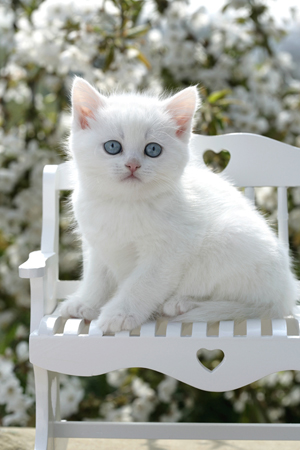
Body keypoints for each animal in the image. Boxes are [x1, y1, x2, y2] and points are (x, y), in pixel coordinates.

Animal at [60, 76, 298, 330]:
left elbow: (142, 284)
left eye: (153, 149)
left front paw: (119, 314)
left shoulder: (170, 251)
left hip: (230, 236)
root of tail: (286, 297)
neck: (124, 204)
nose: (133, 165)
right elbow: (97, 277)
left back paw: (182, 304)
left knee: (246, 301)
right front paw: (86, 303)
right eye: (112, 146)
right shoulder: (97, 243)